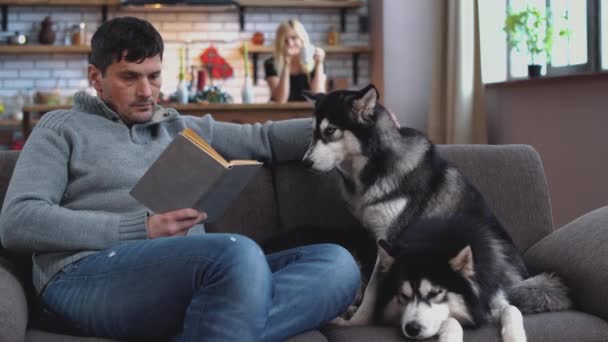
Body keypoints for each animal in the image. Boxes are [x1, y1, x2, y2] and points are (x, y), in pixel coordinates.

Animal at [302, 85, 572, 342]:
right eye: (313, 133)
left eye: (330, 131)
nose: (305, 163)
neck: (377, 165)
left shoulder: (390, 236)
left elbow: (373, 290)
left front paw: (358, 321)